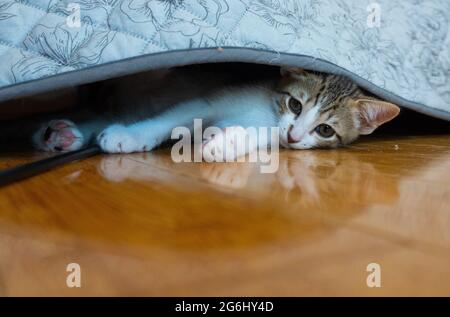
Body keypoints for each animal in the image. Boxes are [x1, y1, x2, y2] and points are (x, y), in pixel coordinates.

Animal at [29, 65, 400, 159]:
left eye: (325, 130)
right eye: (295, 104)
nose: (294, 136)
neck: (268, 112)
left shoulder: (270, 132)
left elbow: (256, 138)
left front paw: (227, 143)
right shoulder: (205, 102)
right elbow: (168, 120)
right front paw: (131, 137)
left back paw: (60, 135)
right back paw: (54, 133)